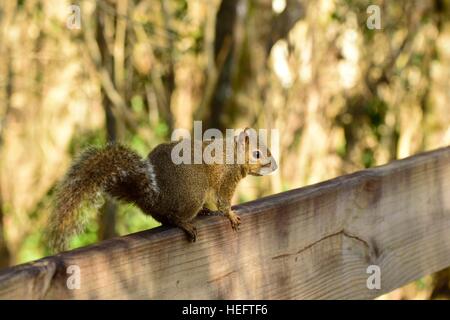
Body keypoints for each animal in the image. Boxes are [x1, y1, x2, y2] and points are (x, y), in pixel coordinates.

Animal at [46, 128, 278, 252]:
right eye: (257, 154)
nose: (274, 166)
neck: (232, 155)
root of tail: (153, 197)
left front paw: (214, 211)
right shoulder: (226, 179)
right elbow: (223, 201)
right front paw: (230, 215)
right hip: (194, 191)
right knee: (171, 217)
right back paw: (185, 223)